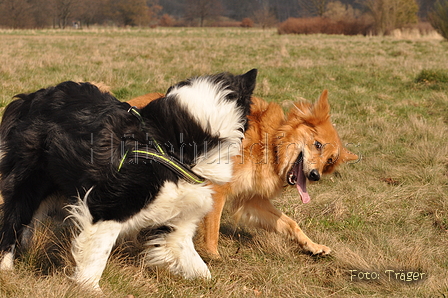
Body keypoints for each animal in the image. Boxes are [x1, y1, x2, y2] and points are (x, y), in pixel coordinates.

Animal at [0, 69, 258, 288]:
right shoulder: (109, 207)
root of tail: (31, 98)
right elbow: (98, 253)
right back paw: (6, 268)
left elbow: (197, 264)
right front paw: (89, 288)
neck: (171, 145)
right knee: (13, 220)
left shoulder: (178, 221)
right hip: (29, 183)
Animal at [128, 90, 358, 258]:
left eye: (330, 161)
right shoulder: (217, 188)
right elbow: (213, 228)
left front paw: (313, 246)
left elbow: (290, 223)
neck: (270, 143)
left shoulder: (252, 200)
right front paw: (212, 256)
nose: (315, 175)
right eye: (317, 144)